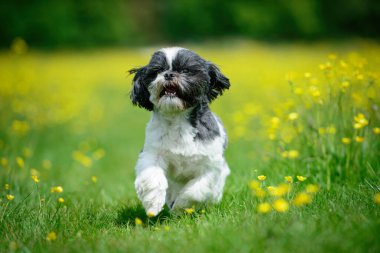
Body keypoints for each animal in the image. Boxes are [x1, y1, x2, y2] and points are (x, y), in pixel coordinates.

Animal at [129, 47, 230, 215]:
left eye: (185, 70)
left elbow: (195, 191)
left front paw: (180, 207)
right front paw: (153, 204)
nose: (169, 74)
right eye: (157, 71)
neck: (177, 119)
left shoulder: (210, 167)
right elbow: (152, 178)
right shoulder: (152, 153)